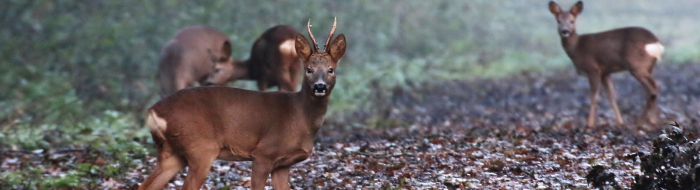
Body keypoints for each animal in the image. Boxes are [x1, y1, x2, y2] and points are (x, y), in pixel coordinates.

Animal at [139, 18, 344, 190]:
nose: (319, 86)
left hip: (172, 153)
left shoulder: (283, 164)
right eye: (309, 69)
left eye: (331, 69)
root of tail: (153, 111)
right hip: (200, 148)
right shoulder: (264, 154)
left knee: (146, 185)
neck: (299, 116)